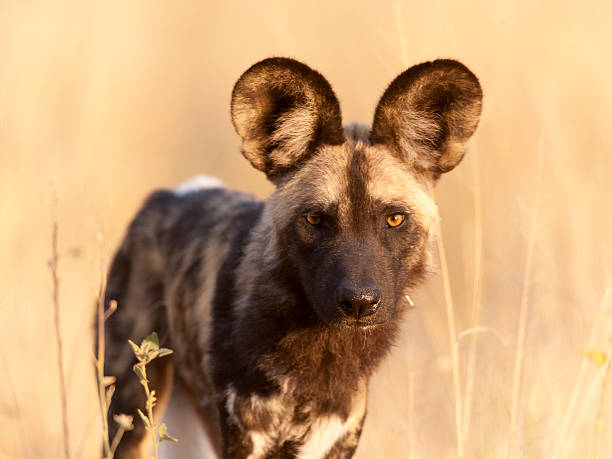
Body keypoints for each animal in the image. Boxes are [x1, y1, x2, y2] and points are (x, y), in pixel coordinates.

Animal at [105, 58, 482, 459]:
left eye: (394, 219)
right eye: (315, 218)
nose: (359, 302)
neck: (319, 355)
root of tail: (172, 194)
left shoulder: (337, 438)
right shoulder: (244, 438)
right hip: (130, 419)